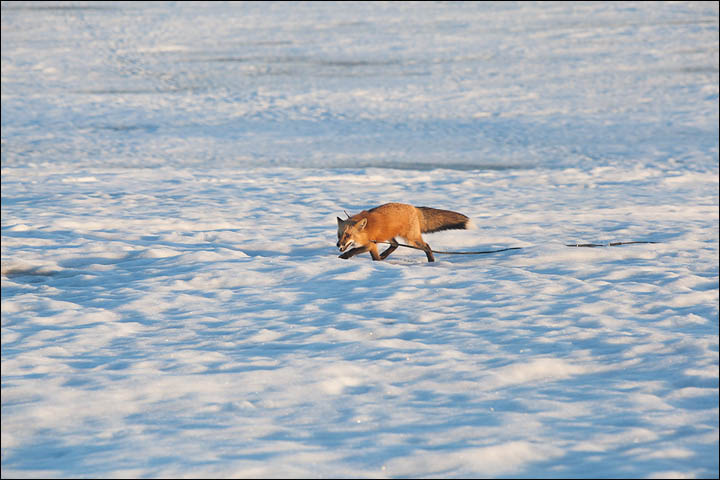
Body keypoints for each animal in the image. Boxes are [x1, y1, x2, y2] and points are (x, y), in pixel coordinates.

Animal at [336, 202, 472, 262]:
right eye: (339, 235)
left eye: (348, 235)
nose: (338, 245)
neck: (365, 231)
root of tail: (414, 208)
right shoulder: (373, 245)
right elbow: (374, 257)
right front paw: (379, 261)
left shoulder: (370, 244)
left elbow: (354, 250)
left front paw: (344, 257)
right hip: (390, 235)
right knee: (395, 245)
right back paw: (384, 256)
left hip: (411, 239)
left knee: (427, 246)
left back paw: (431, 262)